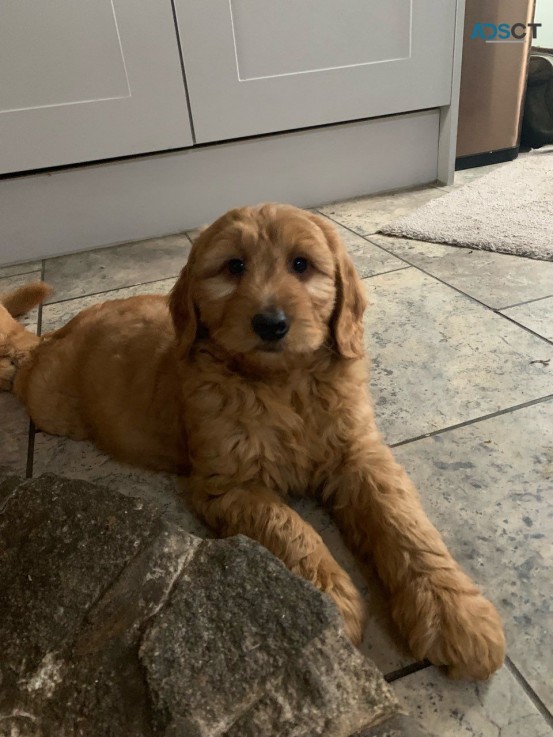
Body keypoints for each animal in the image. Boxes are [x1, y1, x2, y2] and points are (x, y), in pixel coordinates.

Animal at [2, 204, 506, 676]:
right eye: (234, 266)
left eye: (301, 264)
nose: (270, 323)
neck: (284, 385)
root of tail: (59, 332)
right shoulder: (229, 484)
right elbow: (289, 528)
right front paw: (325, 600)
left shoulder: (360, 455)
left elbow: (403, 523)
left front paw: (454, 611)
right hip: (49, 404)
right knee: (22, 370)